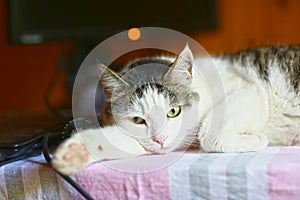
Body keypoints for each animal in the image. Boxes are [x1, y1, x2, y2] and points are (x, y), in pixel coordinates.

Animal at [52, 44, 300, 175]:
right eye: (137, 120)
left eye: (173, 112)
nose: (160, 139)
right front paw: (73, 153)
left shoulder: (249, 89)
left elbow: (209, 133)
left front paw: (258, 139)